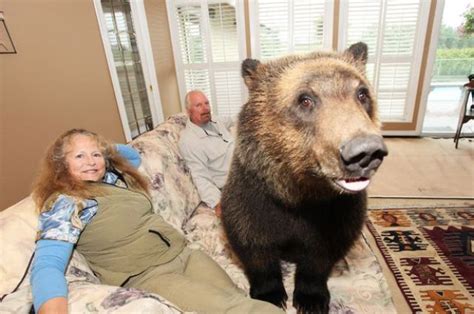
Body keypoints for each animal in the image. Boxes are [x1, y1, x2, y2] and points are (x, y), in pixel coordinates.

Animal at [220, 42, 386, 314]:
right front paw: (271, 295)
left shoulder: (336, 212)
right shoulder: (255, 196)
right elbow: (252, 241)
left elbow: (320, 254)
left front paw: (311, 300)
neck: (299, 194)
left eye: (362, 93)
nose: (365, 150)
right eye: (305, 99)